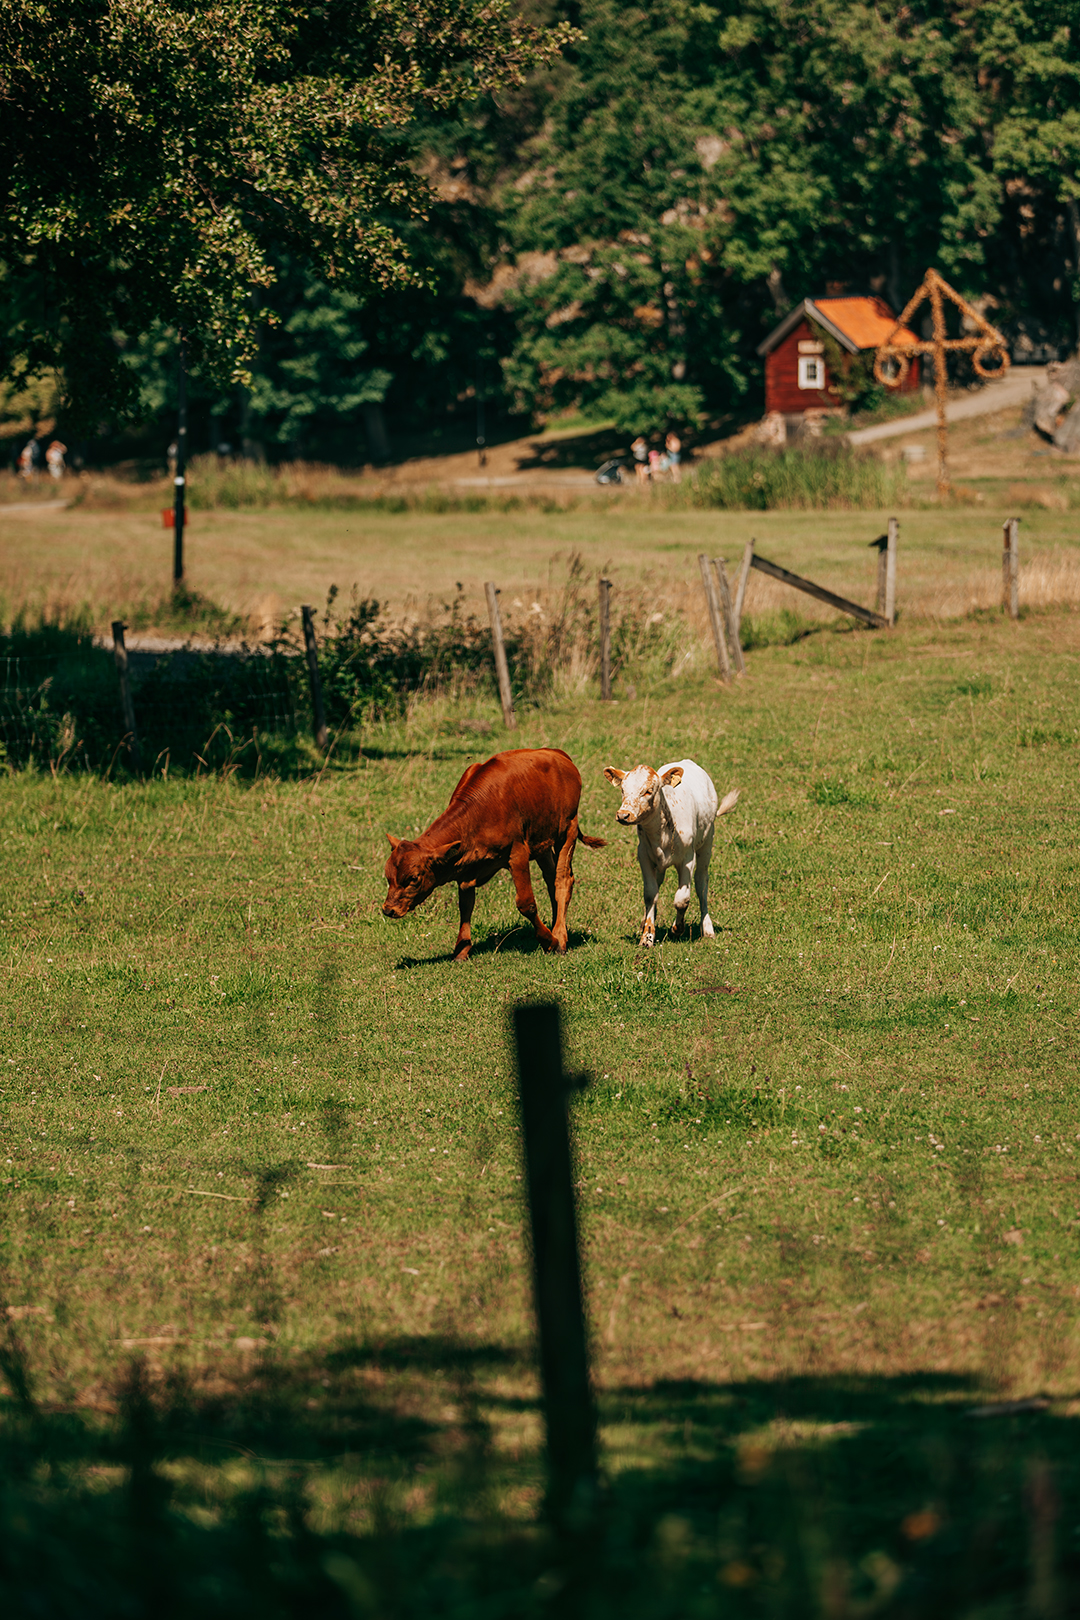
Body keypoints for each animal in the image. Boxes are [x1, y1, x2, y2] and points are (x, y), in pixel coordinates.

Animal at [382, 748, 605, 959]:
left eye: (413, 878)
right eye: (388, 876)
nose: (388, 909)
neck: (478, 813)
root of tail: (559, 754)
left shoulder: (518, 853)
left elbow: (526, 904)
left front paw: (549, 942)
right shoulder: (467, 868)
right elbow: (466, 904)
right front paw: (461, 950)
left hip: (568, 830)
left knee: (563, 880)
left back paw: (560, 936)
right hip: (542, 842)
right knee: (551, 879)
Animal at [605, 758, 738, 946]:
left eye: (648, 791)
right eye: (623, 790)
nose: (623, 815)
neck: (662, 834)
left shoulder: (688, 858)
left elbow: (682, 899)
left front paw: (678, 928)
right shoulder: (643, 855)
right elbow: (650, 894)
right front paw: (647, 935)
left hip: (706, 844)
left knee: (701, 884)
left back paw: (707, 928)